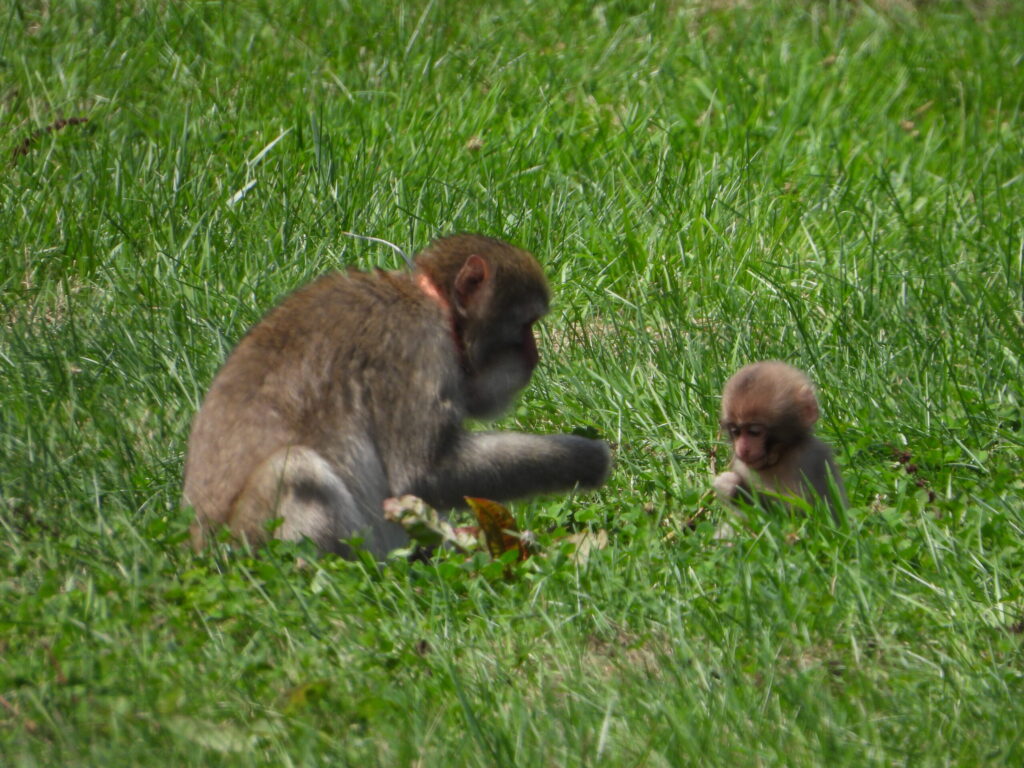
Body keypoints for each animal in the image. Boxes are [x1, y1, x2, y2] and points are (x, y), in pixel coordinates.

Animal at [183, 234, 611, 559]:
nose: (535, 357)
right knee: (296, 469)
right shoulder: (417, 345)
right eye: (526, 325)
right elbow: (424, 473)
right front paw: (585, 459)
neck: (430, 302)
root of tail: (198, 552)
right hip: (246, 541)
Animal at [712, 361, 847, 521]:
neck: (779, 457)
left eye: (754, 432)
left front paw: (736, 488)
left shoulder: (811, 458)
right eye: (735, 432)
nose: (743, 449)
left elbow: (809, 514)